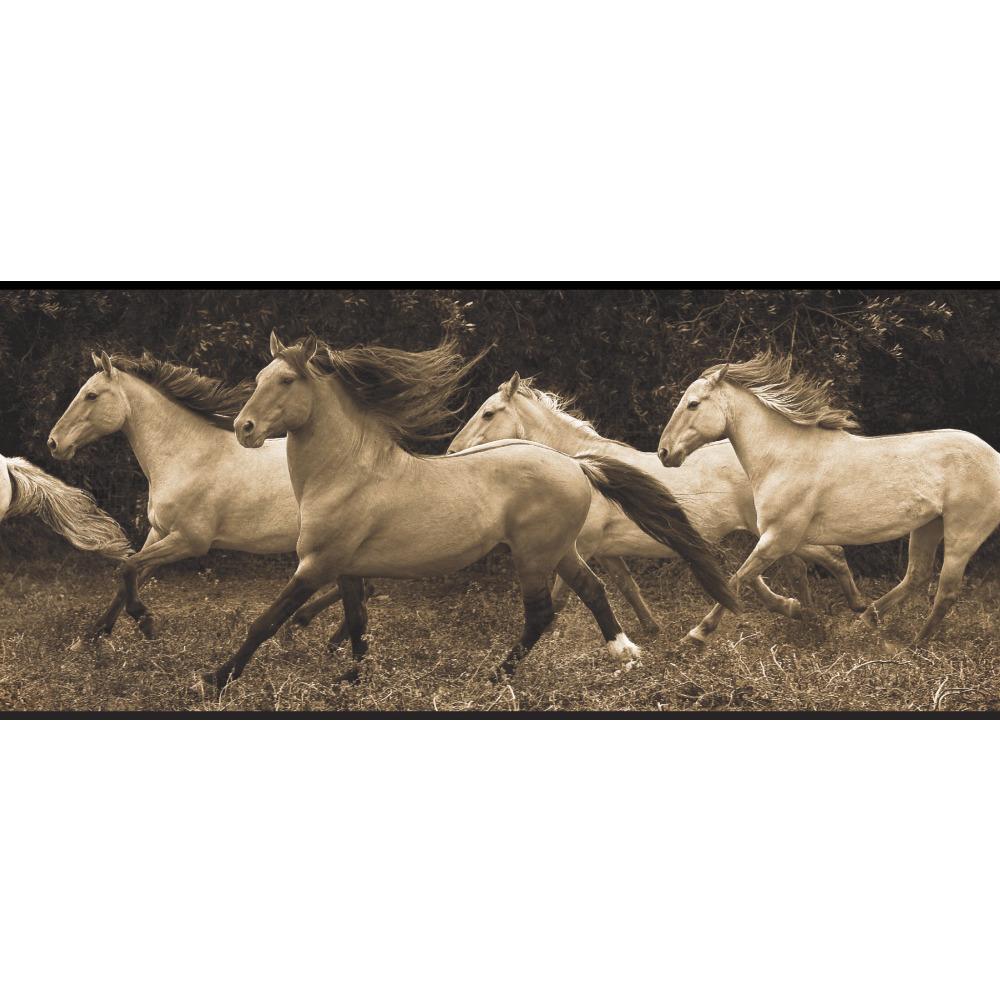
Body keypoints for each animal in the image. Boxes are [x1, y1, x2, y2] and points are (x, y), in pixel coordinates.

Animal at [47, 352, 368, 648]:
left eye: (91, 395)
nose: (53, 443)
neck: (186, 456)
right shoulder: (159, 533)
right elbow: (129, 576)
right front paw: (88, 639)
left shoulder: (190, 541)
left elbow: (126, 568)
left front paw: (145, 622)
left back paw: (310, 629)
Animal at [205, 334, 736, 688]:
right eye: (259, 378)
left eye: (286, 380)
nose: (244, 428)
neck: (347, 473)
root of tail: (575, 463)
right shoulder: (346, 567)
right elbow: (356, 622)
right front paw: (353, 677)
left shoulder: (317, 564)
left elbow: (267, 620)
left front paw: (216, 678)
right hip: (561, 550)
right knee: (593, 590)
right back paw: (625, 654)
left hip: (533, 555)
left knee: (541, 613)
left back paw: (499, 674)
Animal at [450, 372, 864, 628]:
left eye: (488, 413)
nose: (452, 451)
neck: (585, 466)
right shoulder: (606, 551)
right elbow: (627, 587)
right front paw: (653, 630)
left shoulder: (580, 546)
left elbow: (564, 597)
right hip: (770, 532)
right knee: (792, 567)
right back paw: (802, 611)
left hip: (775, 530)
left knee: (828, 556)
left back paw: (852, 609)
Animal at [656, 356, 1000, 644]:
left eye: (693, 404)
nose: (664, 452)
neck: (783, 457)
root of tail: (994, 456)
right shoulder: (786, 538)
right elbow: (808, 565)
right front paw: (814, 615)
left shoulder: (779, 536)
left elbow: (739, 577)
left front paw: (698, 633)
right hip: (928, 526)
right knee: (916, 575)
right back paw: (866, 621)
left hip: (962, 534)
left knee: (946, 591)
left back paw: (915, 644)